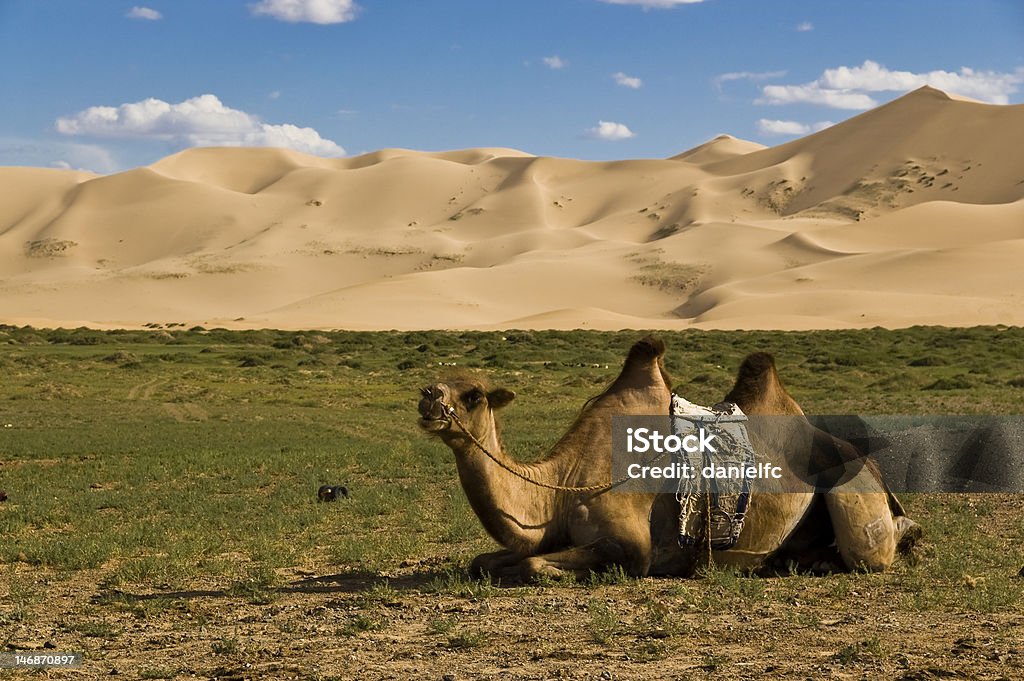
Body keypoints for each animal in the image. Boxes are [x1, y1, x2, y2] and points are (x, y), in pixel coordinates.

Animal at [415, 337, 921, 581]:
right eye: (438, 383)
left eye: (474, 394)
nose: (428, 396)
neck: (562, 485)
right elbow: (484, 561)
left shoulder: (631, 547)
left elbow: (534, 565)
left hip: (850, 489)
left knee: (870, 551)